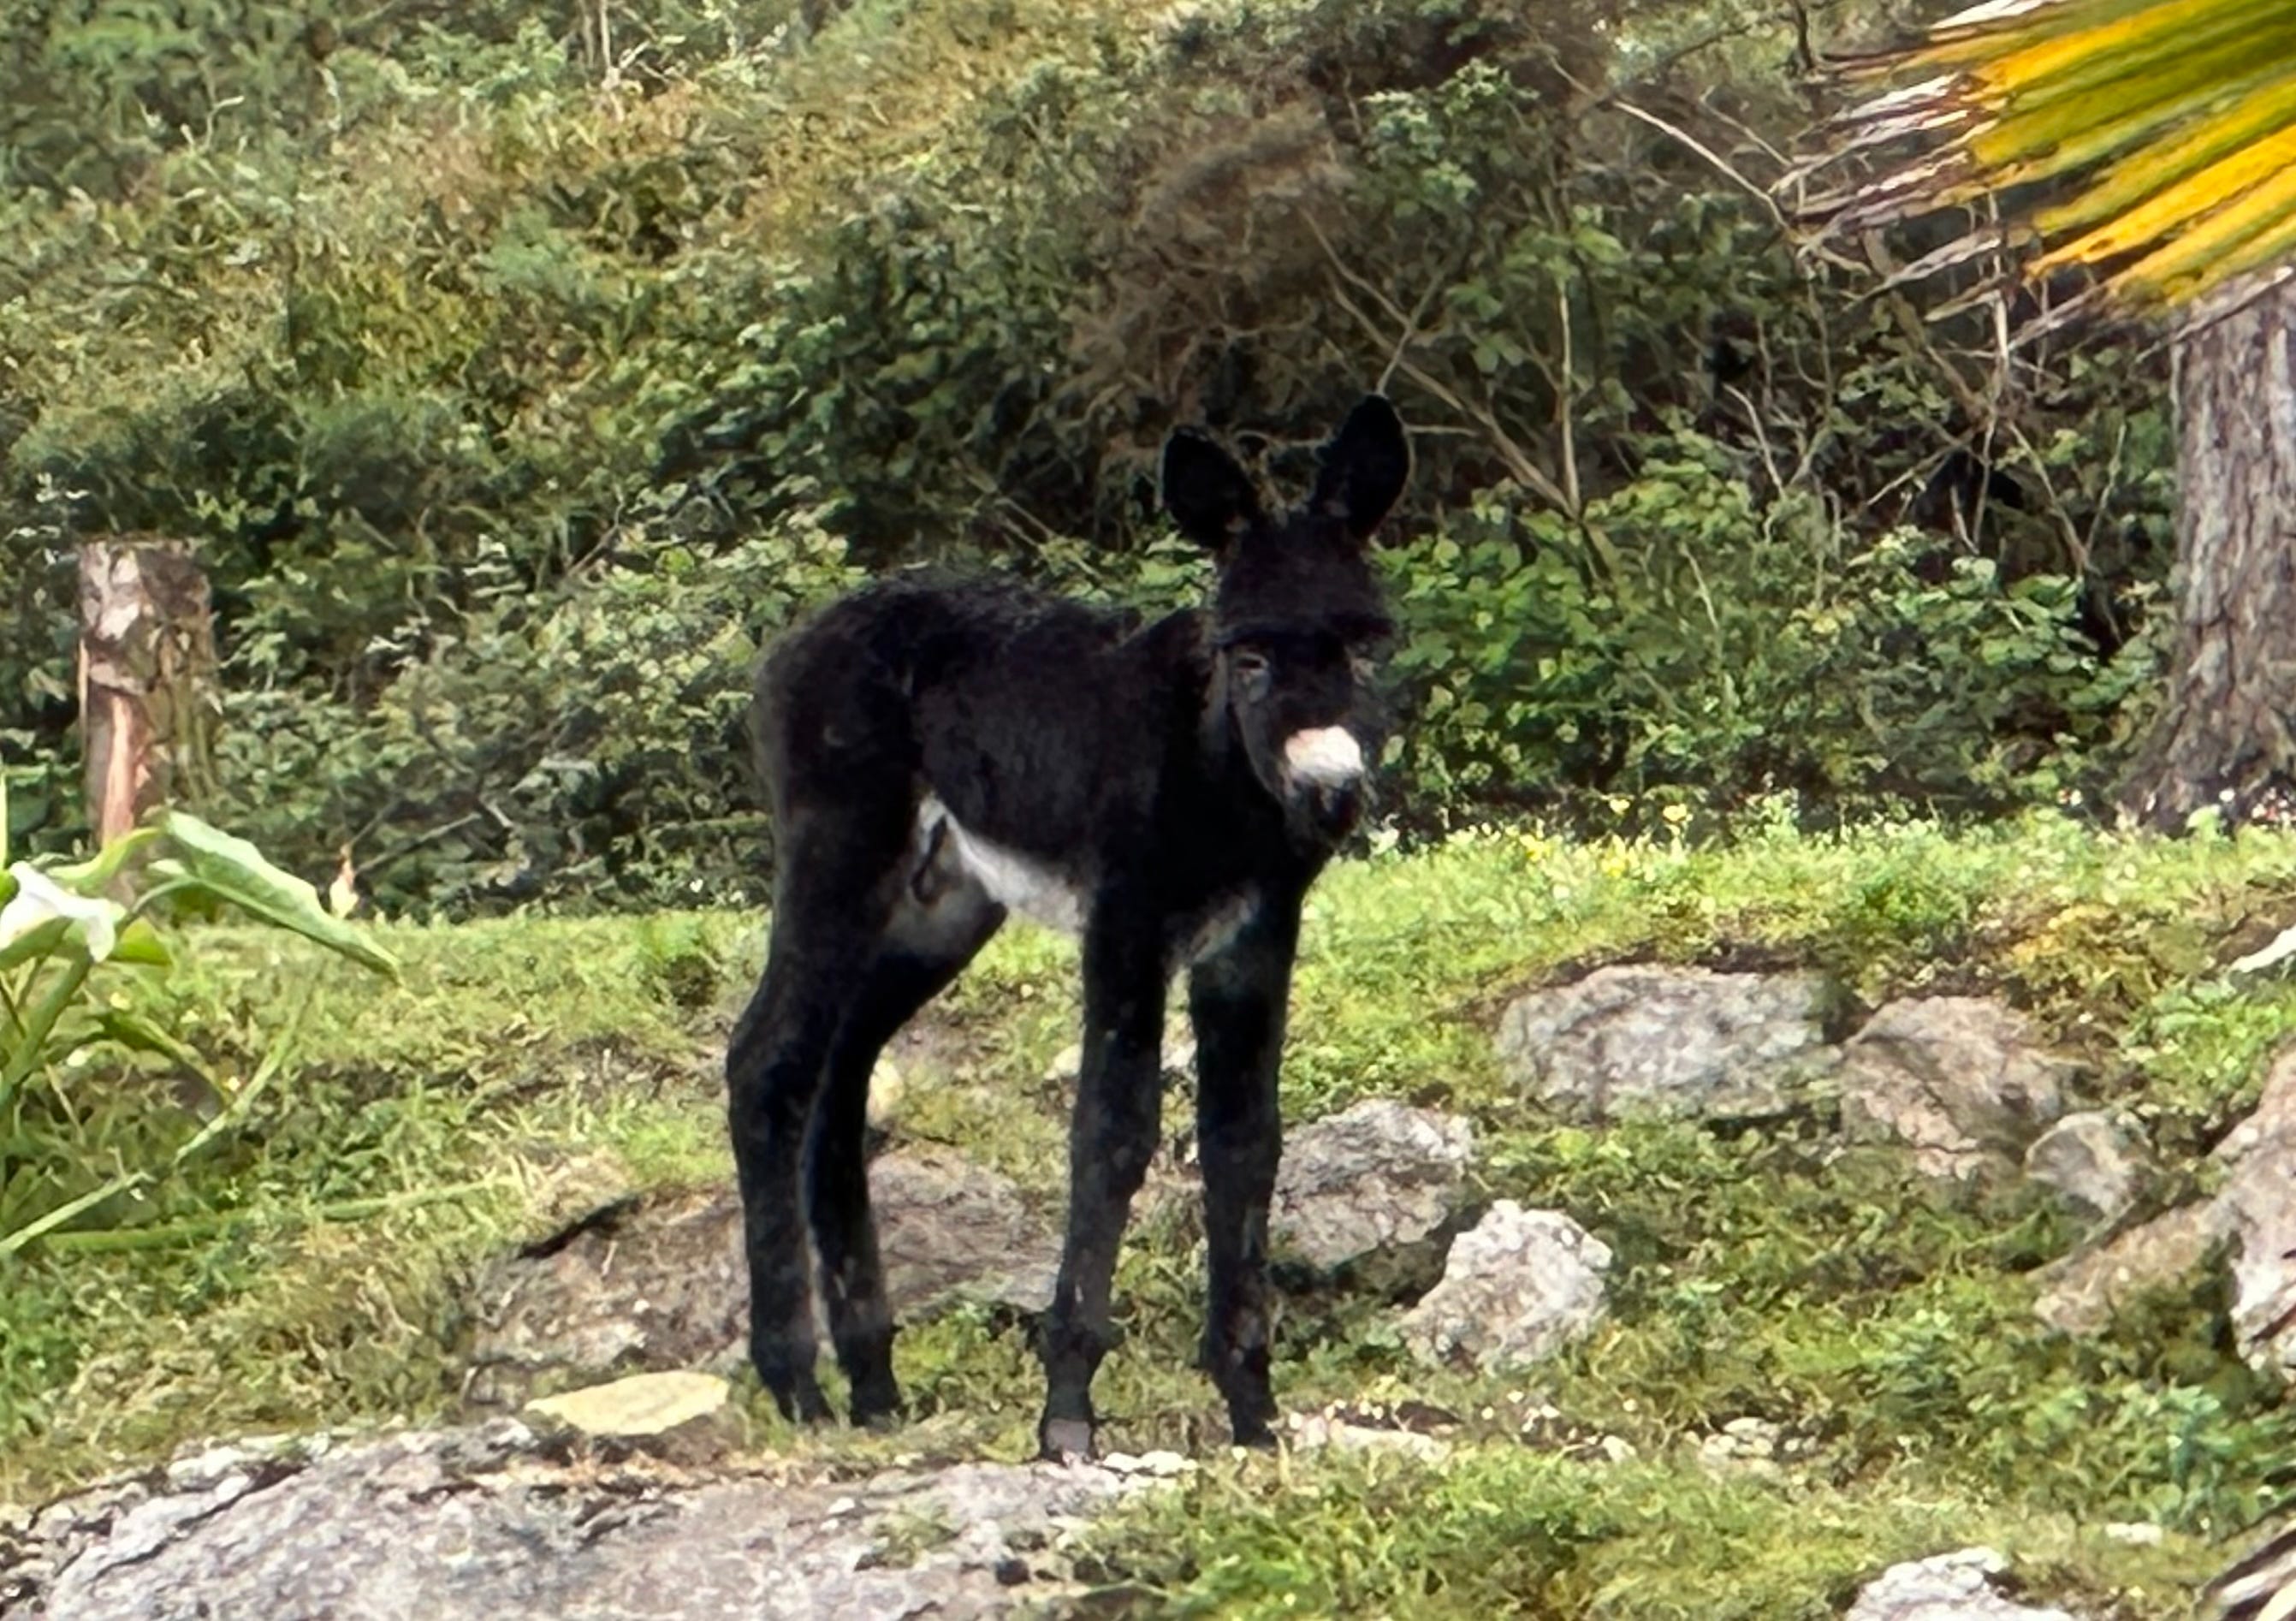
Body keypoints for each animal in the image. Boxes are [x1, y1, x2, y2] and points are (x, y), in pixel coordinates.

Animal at [726, 393, 1411, 1460]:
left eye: (1368, 646)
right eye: (1249, 656)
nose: (1331, 796)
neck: (1217, 779)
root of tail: (804, 634)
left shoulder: (1252, 943)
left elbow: (1245, 1142)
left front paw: (1253, 1413)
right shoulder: (1126, 924)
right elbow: (1112, 1134)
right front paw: (1067, 1414)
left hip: (941, 906)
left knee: (840, 1074)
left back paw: (872, 1382)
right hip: (839, 855)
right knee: (769, 1057)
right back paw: (795, 1382)